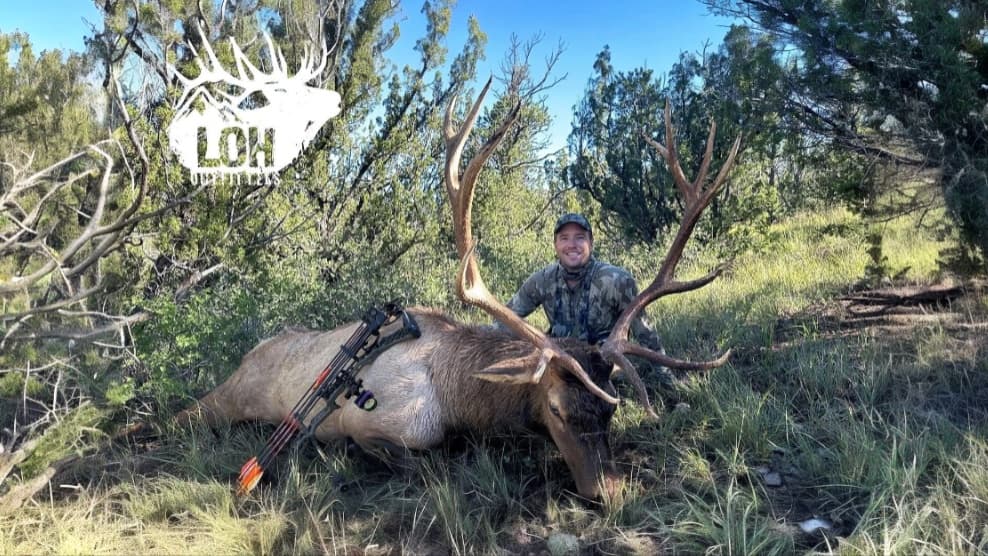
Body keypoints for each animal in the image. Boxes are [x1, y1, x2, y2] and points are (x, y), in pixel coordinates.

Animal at [177, 77, 740, 499]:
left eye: (611, 408)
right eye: (557, 409)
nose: (609, 492)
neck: (460, 400)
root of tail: (251, 351)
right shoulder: (377, 426)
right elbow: (423, 460)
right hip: (227, 398)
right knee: (189, 413)